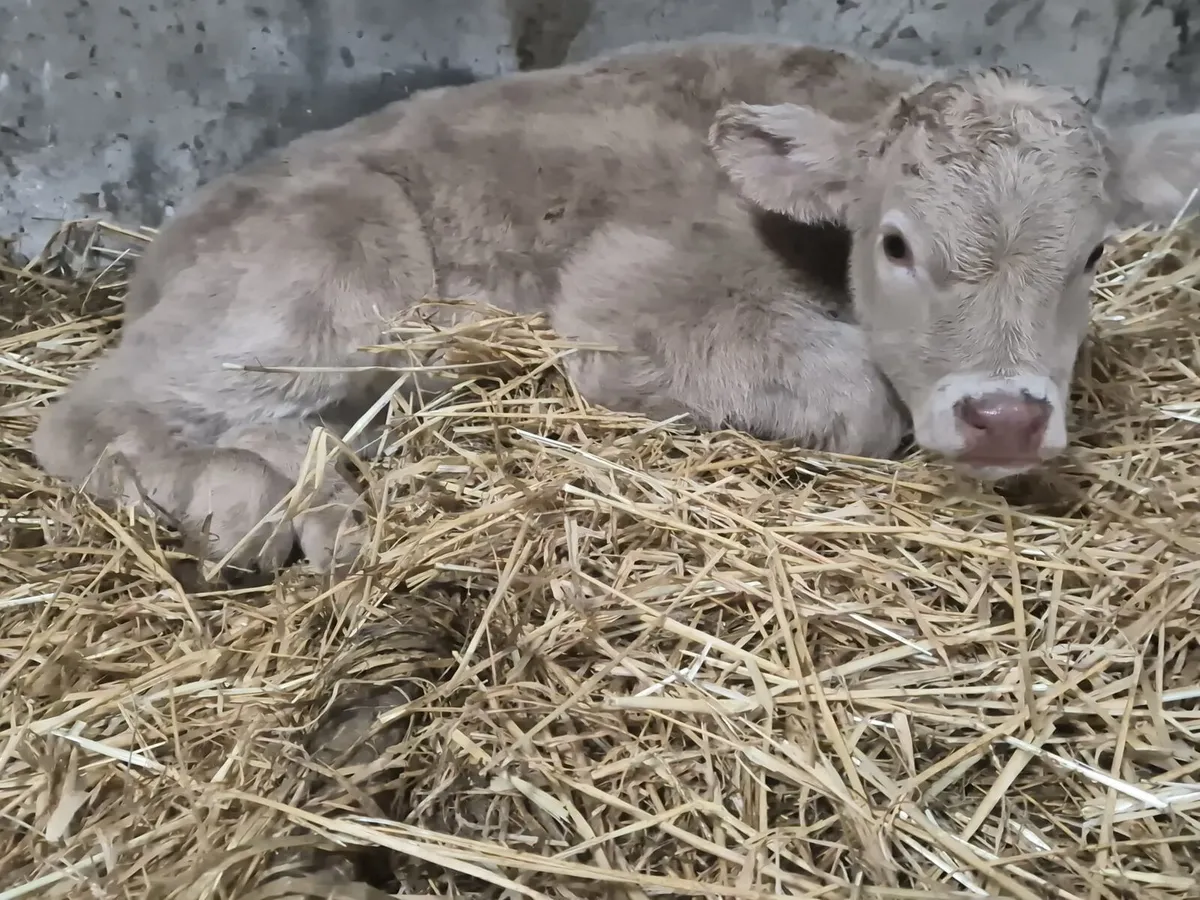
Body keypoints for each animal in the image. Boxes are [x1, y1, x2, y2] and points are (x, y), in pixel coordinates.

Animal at [30, 37, 1200, 575]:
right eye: (897, 243)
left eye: (1094, 252)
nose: (1005, 416)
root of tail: (164, 246)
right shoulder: (627, 296)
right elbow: (861, 397)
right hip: (325, 269)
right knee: (81, 417)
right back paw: (250, 502)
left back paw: (314, 492)